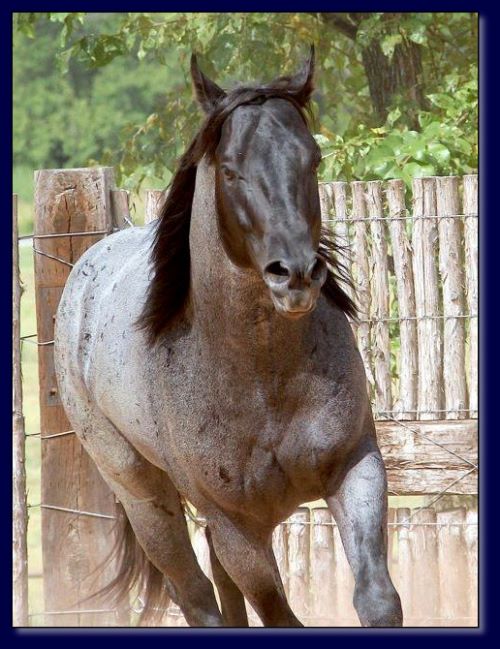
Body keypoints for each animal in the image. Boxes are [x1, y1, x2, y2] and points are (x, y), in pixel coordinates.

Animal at [54, 47, 403, 627]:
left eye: (313, 161)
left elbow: (378, 600)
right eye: (232, 170)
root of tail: (84, 273)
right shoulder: (235, 525)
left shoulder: (357, 470)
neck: (264, 379)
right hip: (147, 500)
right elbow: (278, 613)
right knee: (195, 595)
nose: (297, 274)